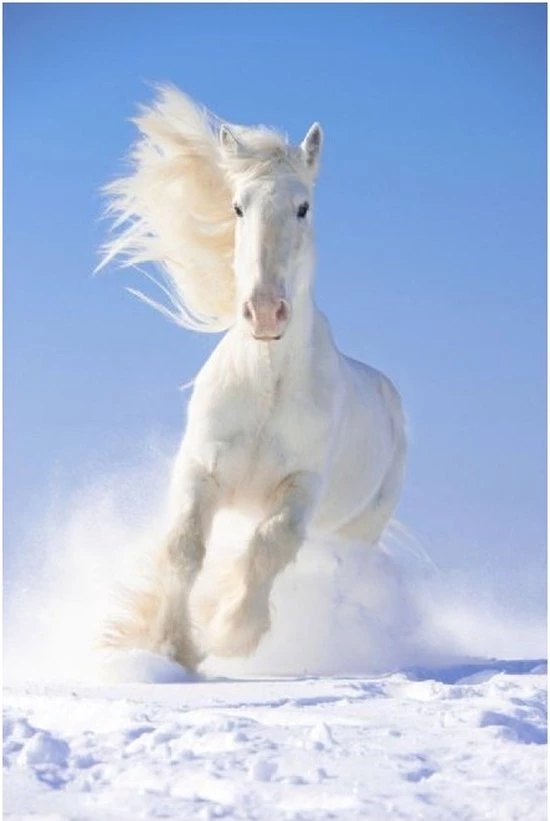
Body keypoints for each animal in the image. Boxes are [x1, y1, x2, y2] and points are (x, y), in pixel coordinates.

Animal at [98, 87, 406, 671]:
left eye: (304, 207)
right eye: (238, 206)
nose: (266, 312)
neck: (265, 386)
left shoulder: (301, 487)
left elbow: (269, 545)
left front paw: (231, 633)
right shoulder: (201, 470)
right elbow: (183, 548)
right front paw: (168, 646)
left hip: (359, 530)